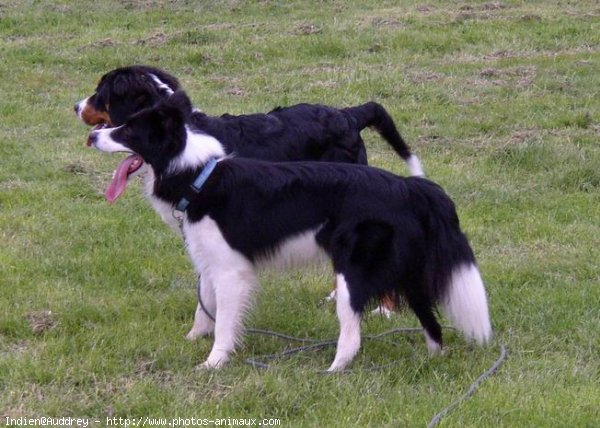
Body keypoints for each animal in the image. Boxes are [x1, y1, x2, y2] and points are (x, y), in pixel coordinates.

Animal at [89, 90, 492, 372]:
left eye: (127, 130)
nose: (91, 138)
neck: (199, 173)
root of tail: (410, 187)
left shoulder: (231, 270)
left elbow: (223, 323)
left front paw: (213, 363)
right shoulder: (209, 259)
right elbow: (204, 306)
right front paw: (192, 340)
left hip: (354, 272)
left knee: (352, 334)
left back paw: (332, 372)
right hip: (404, 271)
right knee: (431, 322)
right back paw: (431, 362)